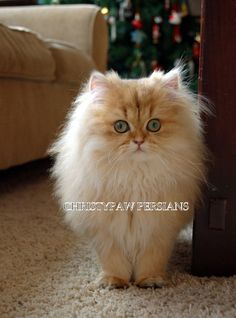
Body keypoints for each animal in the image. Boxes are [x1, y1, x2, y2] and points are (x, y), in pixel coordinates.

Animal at [49, 68, 206, 290]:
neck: (134, 177)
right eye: (121, 126)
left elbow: (151, 261)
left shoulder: (158, 231)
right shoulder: (106, 234)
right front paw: (114, 282)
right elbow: (114, 262)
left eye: (154, 125)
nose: (139, 141)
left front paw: (149, 281)